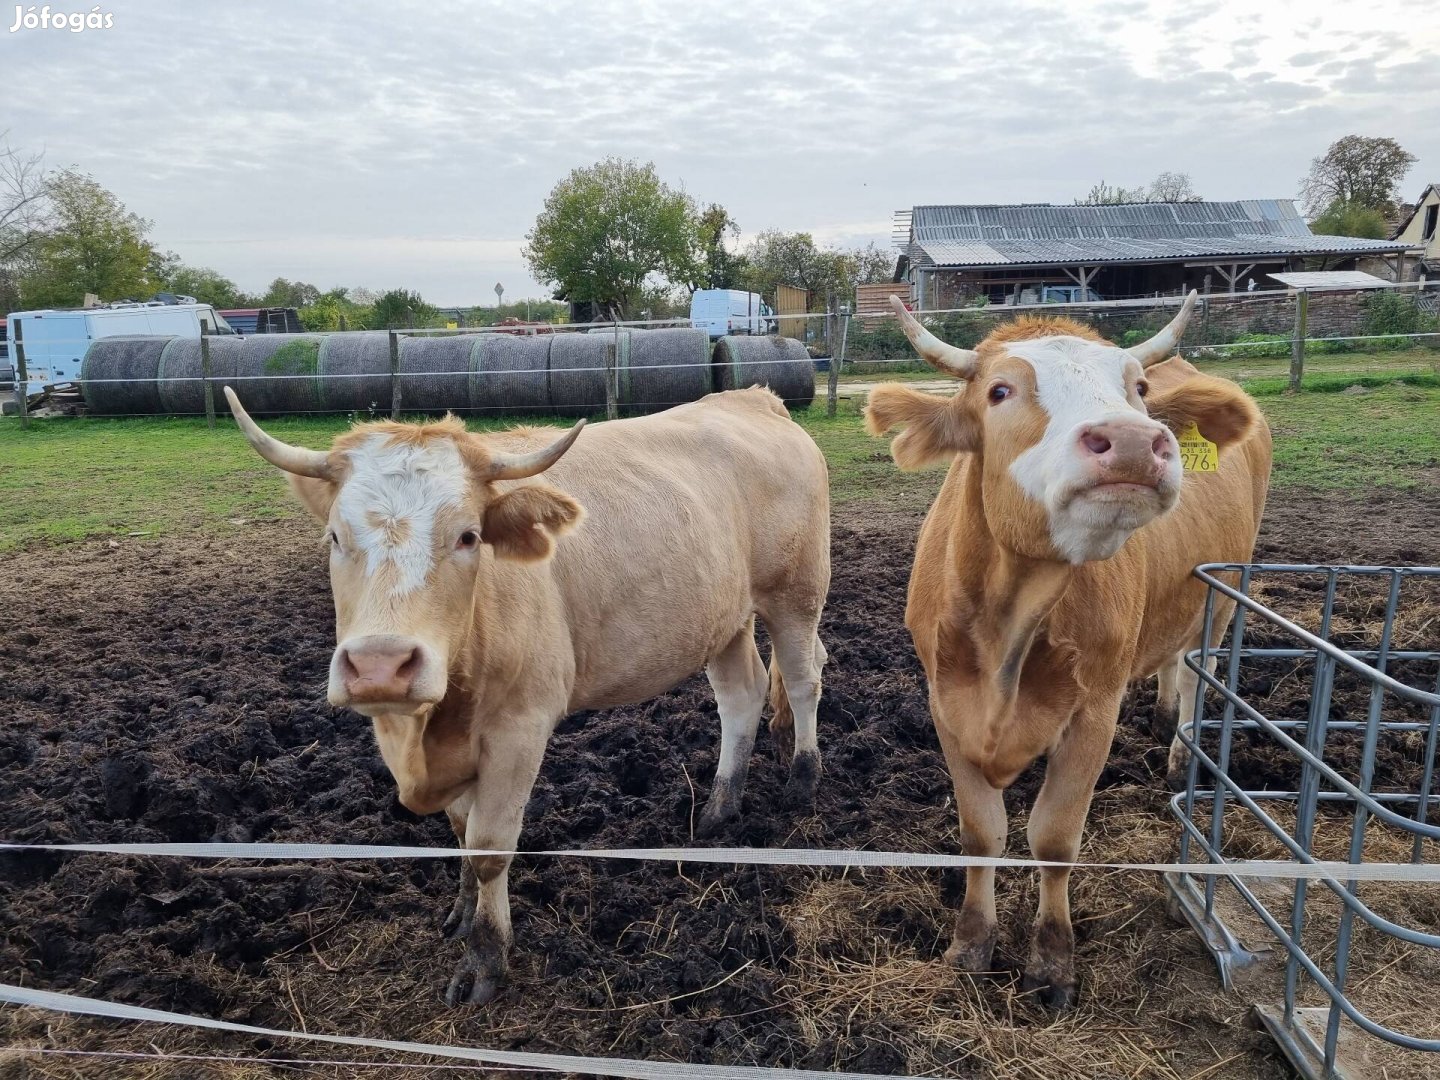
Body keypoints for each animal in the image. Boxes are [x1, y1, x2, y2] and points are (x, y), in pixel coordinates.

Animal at [224, 385, 835, 1008]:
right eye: (334, 537)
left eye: (469, 536)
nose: (380, 666)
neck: (430, 732)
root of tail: (752, 398)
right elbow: (460, 833)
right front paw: (462, 914)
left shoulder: (519, 727)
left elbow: (489, 845)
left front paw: (486, 958)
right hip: (722, 618)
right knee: (742, 696)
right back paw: (719, 807)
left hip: (797, 590)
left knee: (803, 677)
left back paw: (803, 777)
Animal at [858, 293, 1267, 1008]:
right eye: (999, 391)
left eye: (1137, 389)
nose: (1132, 440)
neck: (1008, 622)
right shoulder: (944, 704)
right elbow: (981, 833)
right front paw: (971, 946)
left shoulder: (1094, 710)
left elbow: (1052, 837)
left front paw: (1052, 963)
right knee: (1172, 659)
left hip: (1226, 592)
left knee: (1201, 671)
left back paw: (1181, 752)